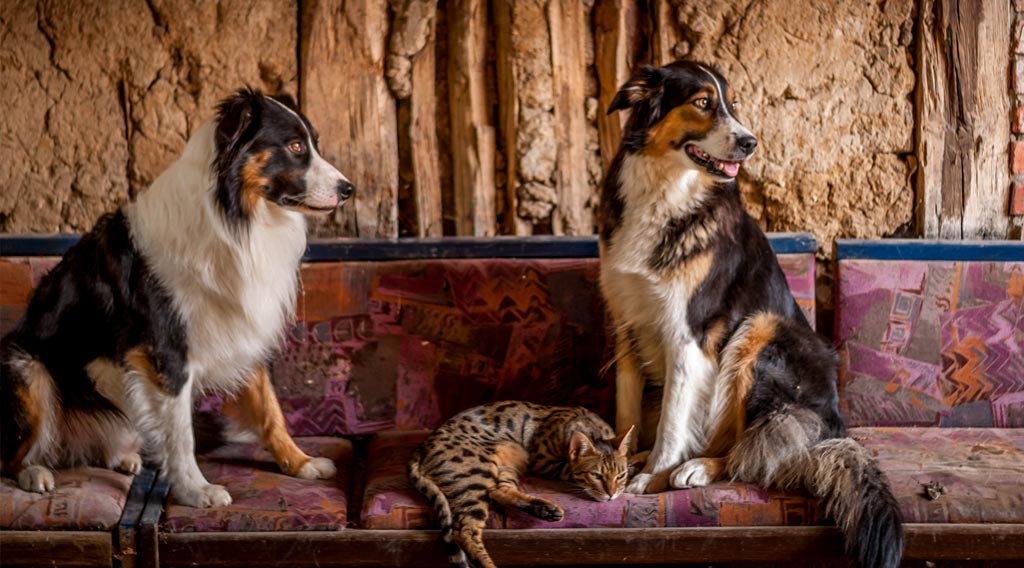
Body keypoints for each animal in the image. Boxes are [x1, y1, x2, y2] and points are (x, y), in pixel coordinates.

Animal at [2, 90, 352, 511]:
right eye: (296, 146)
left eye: (313, 142)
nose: (349, 189)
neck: (235, 216)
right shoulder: (166, 352)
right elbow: (181, 433)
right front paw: (195, 490)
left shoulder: (241, 325)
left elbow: (271, 410)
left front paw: (300, 462)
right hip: (26, 369)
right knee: (14, 453)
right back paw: (35, 472)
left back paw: (122, 457)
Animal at [407, 403, 630, 568]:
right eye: (596, 475)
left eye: (621, 475)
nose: (611, 495)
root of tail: (421, 448)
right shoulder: (543, 463)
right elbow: (567, 471)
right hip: (476, 475)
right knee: (463, 530)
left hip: (510, 460)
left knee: (498, 490)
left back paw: (546, 510)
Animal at [598, 62, 905, 568]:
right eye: (704, 103)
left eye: (733, 103)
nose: (750, 142)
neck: (666, 188)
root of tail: (832, 424)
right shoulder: (626, 326)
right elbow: (628, 414)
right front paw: (624, 464)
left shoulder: (689, 334)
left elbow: (671, 421)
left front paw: (652, 475)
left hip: (759, 331)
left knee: (755, 450)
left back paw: (698, 468)